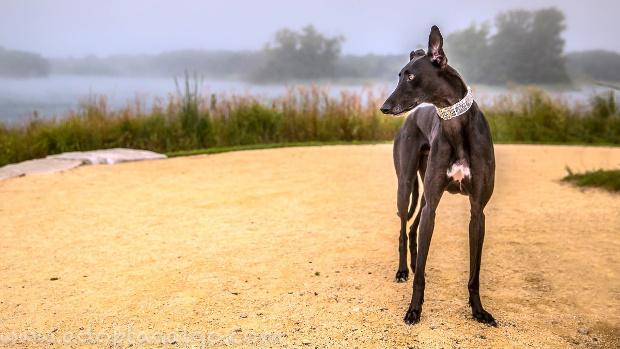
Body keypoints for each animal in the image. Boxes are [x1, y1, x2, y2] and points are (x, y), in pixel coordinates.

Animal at [380, 25, 496, 324]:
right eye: (399, 75)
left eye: (410, 75)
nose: (384, 108)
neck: (455, 123)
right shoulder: (432, 205)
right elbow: (421, 274)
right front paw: (413, 310)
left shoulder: (478, 210)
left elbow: (474, 273)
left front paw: (479, 311)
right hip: (406, 185)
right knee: (403, 228)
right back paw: (403, 270)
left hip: (422, 194)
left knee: (412, 229)